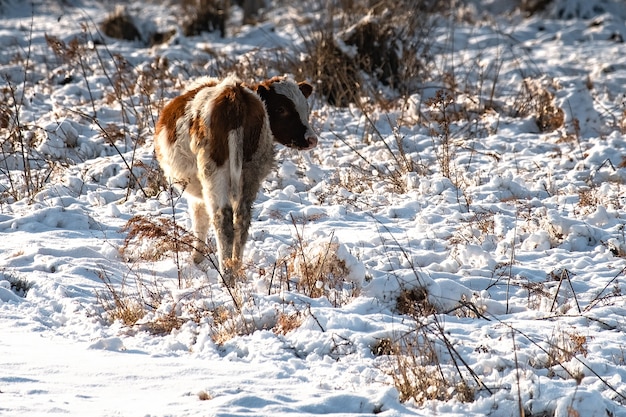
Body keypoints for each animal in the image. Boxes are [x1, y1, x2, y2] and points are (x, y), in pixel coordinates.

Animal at [152, 75, 316, 282]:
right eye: (281, 108)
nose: (312, 139)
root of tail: (234, 93)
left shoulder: (196, 193)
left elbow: (200, 220)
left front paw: (196, 258)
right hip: (252, 170)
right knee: (242, 219)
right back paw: (236, 268)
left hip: (213, 171)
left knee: (222, 220)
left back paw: (226, 274)